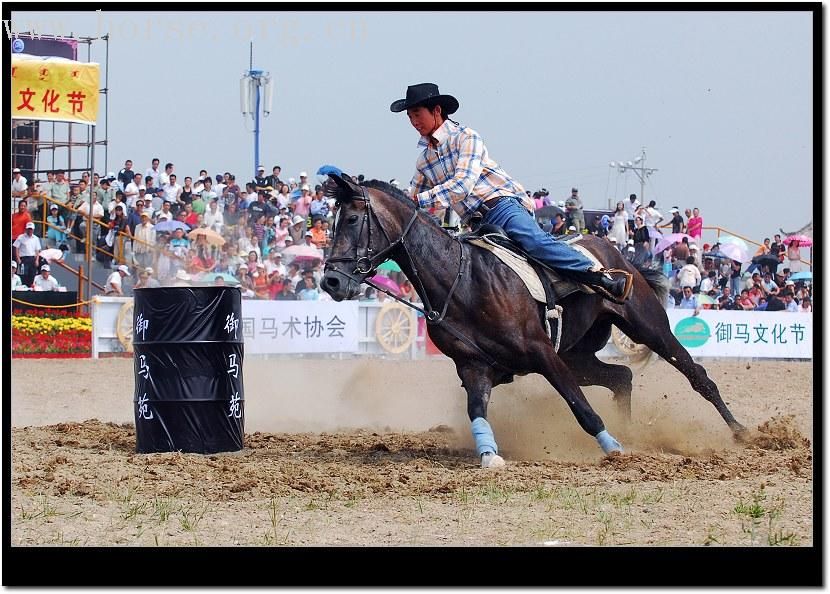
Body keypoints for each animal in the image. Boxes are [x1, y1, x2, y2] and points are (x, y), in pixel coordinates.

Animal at [320, 173, 748, 464]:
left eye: (353, 219)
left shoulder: (542, 353)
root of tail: (618, 255)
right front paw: (489, 455)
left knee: (697, 376)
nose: (330, 280)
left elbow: (579, 407)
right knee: (621, 377)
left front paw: (612, 447)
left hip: (646, 326)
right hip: (577, 354)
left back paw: (741, 432)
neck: (463, 279)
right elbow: (477, 412)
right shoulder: (474, 366)